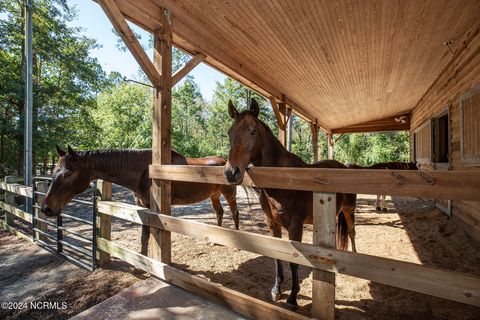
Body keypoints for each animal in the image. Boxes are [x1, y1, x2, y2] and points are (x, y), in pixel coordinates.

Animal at [40, 146, 240, 256]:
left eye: (67, 174)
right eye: (53, 171)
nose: (46, 208)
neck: (144, 171)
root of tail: (225, 162)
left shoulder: (152, 208)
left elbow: (149, 234)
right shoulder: (142, 207)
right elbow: (144, 236)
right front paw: (143, 258)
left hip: (229, 194)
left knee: (235, 213)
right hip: (214, 195)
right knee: (219, 213)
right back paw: (215, 241)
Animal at [222, 99, 356, 308]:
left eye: (253, 131)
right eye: (230, 132)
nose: (231, 173)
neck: (283, 180)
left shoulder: (295, 226)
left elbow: (294, 262)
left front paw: (293, 297)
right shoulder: (272, 225)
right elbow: (278, 257)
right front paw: (276, 290)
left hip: (348, 211)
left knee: (351, 232)